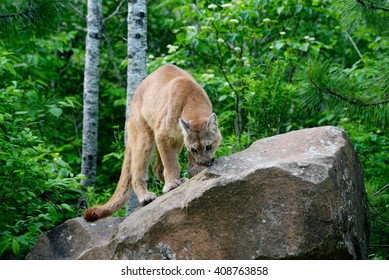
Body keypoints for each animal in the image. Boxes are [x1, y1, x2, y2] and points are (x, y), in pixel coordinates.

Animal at [83, 64, 220, 222]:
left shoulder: (176, 139)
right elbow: (171, 163)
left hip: (175, 141)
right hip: (145, 137)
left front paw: (195, 173)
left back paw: (178, 180)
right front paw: (172, 183)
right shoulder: (162, 134)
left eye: (208, 146)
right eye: (194, 150)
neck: (192, 102)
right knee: (138, 170)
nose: (204, 163)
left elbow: (180, 163)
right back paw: (146, 196)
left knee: (157, 168)